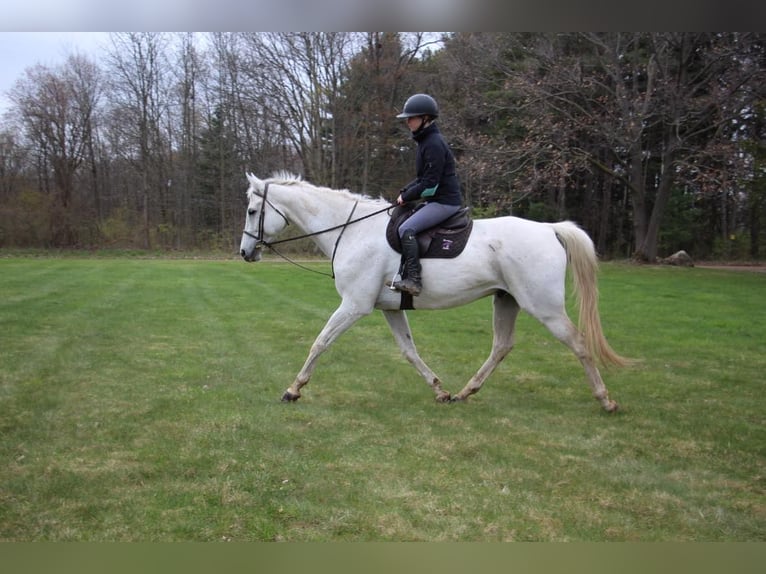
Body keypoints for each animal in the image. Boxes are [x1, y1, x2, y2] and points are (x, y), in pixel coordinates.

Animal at [242, 172, 632, 414]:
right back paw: (465, 392)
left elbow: (320, 342)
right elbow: (409, 351)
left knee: (578, 344)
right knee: (501, 346)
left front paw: (293, 389)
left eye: (251, 210)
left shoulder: (353, 306)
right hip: (507, 300)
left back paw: (606, 400)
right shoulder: (390, 309)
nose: (245, 253)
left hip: (544, 307)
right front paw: (439, 390)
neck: (353, 230)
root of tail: (550, 229)